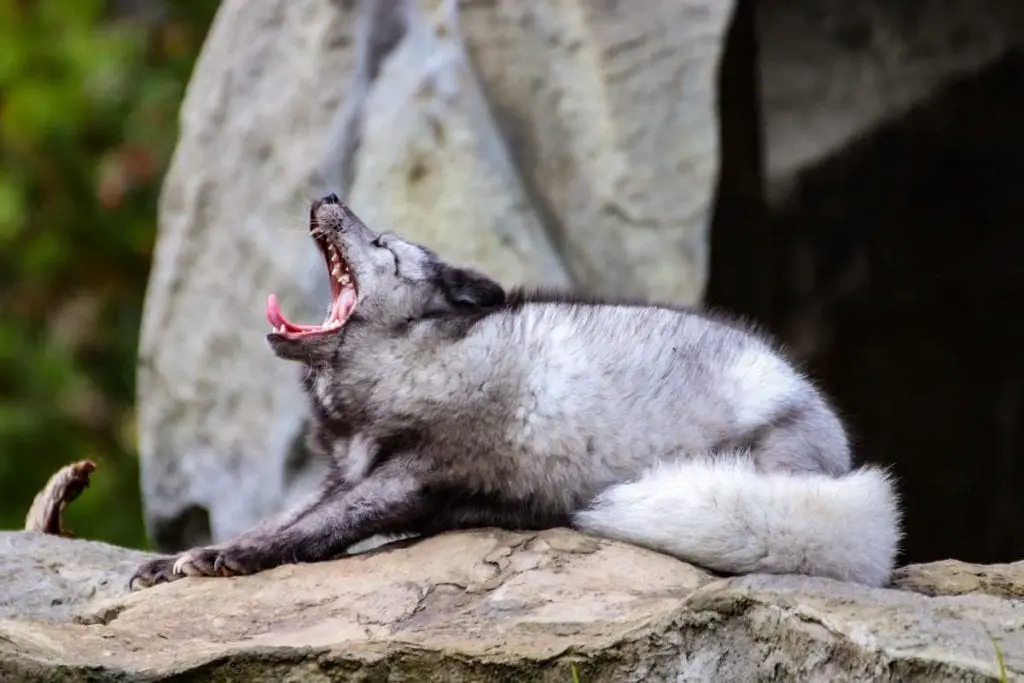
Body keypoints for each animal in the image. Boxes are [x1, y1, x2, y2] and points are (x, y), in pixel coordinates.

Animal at [130, 194, 905, 589]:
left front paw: (227, 560)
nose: (327, 195)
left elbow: (315, 530)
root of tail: (839, 455)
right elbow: (279, 518)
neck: (408, 362)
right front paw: (179, 559)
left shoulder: (409, 472)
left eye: (383, 247)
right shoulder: (344, 472)